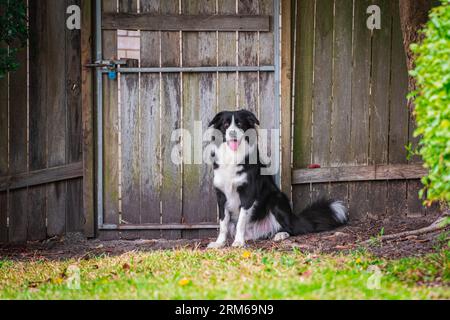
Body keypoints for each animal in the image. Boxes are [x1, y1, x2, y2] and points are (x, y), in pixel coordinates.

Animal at [207, 109, 348, 249]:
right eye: (226, 125)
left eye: (240, 124)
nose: (232, 133)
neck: (232, 156)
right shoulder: (221, 196)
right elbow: (223, 222)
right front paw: (219, 243)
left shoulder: (248, 194)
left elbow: (241, 221)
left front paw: (238, 242)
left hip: (276, 199)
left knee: (290, 229)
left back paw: (280, 235)